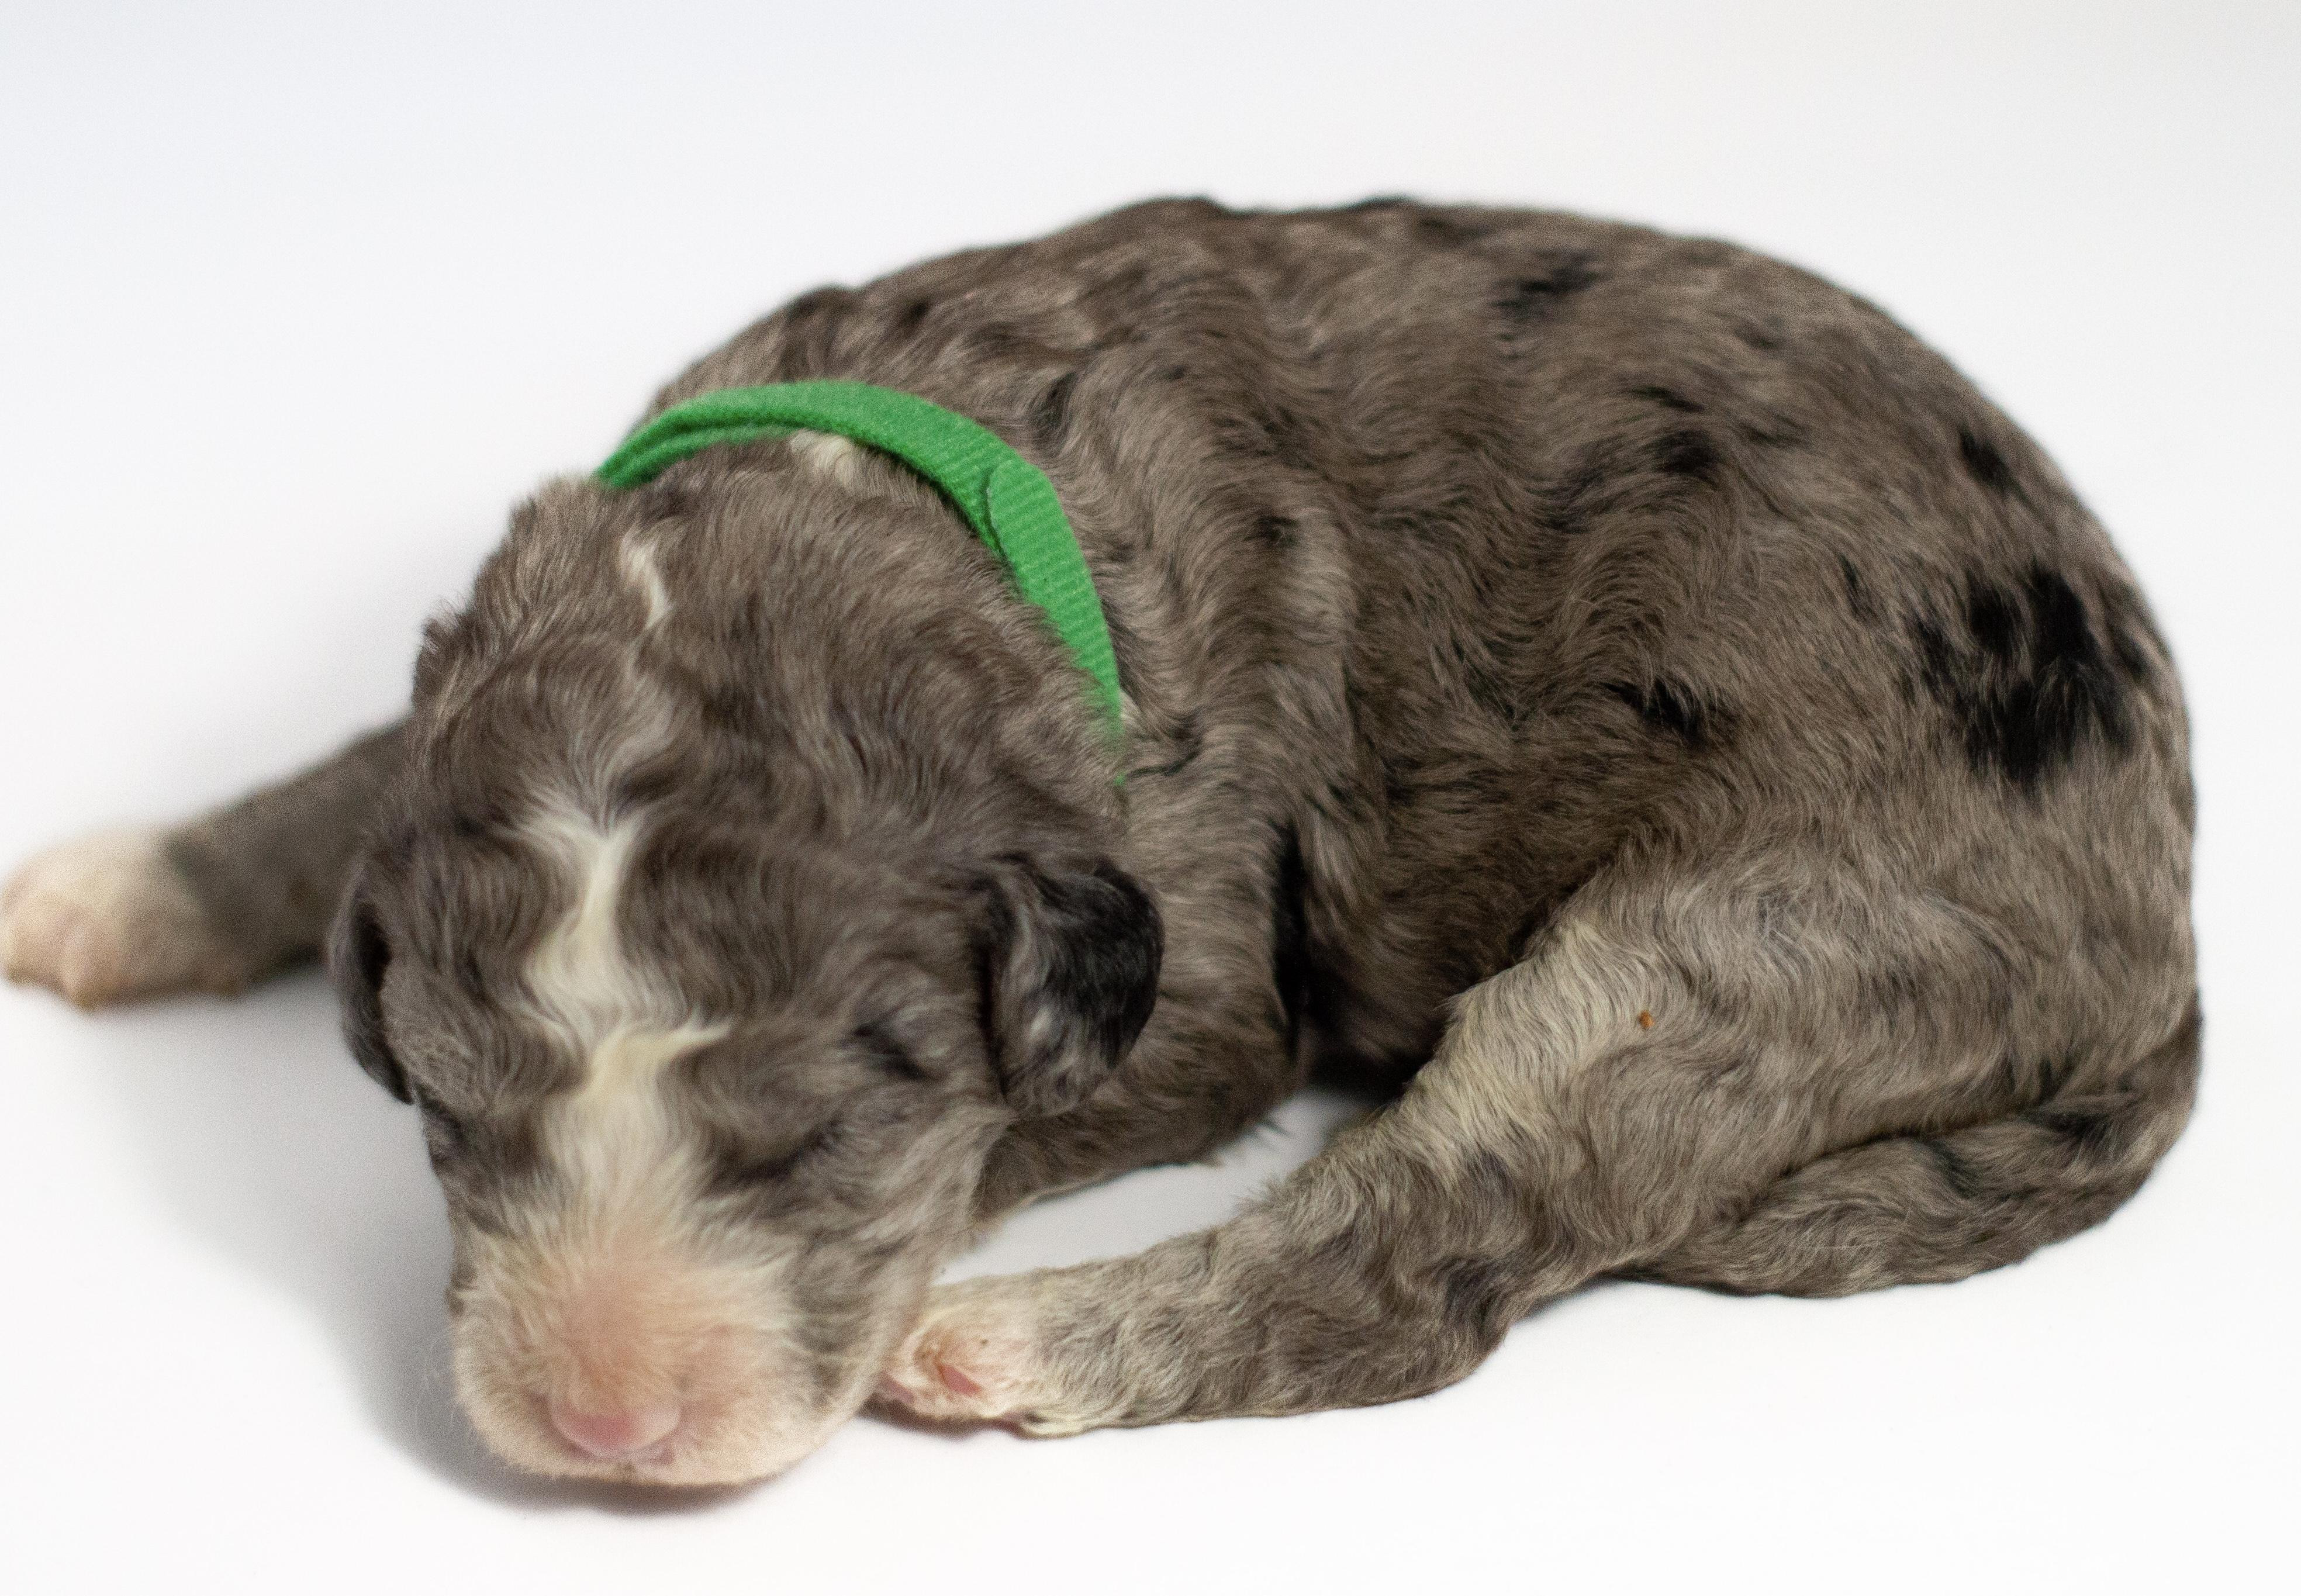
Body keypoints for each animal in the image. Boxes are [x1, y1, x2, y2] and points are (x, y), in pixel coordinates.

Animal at [0, 199, 2198, 1486]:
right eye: (447, 1113)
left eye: (813, 1140)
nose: (603, 1430)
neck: (869, 477)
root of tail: (2168, 935)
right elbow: (349, 771)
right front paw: (133, 880)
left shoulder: (1207, 971)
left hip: (1767, 937)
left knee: (1436, 1243)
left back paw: (1029, 1347)